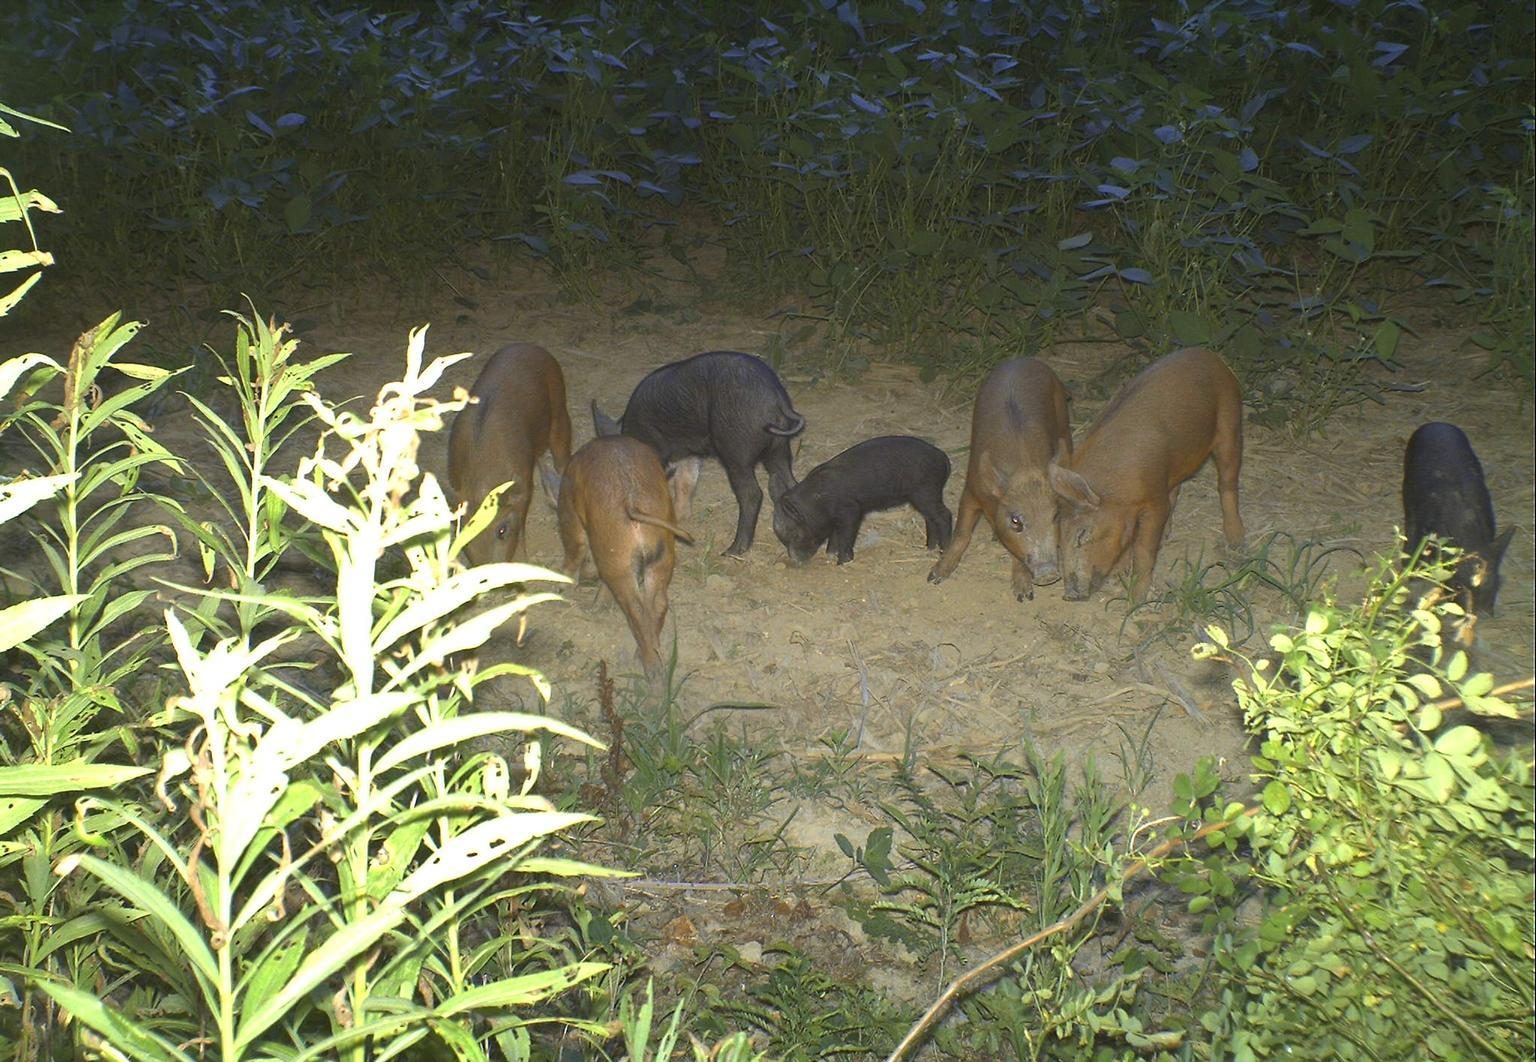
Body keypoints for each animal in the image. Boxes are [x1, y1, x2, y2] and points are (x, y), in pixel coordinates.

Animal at [549, 436, 693, 680]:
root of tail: (632, 503)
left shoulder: (571, 518)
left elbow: (574, 553)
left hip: (617, 561)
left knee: (635, 609)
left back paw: (650, 668)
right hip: (660, 558)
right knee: (657, 604)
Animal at [591, 351, 804, 556]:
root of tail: (775, 398)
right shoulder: (689, 454)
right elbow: (686, 482)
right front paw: (681, 517)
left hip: (736, 450)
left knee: (752, 493)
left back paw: (731, 551)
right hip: (778, 448)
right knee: (786, 483)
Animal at [772, 436, 953, 565]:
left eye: (796, 535)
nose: (795, 561)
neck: (818, 501)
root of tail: (943, 458)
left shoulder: (851, 510)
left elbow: (846, 534)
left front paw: (842, 562)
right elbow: (835, 533)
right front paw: (830, 555)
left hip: (926, 491)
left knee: (944, 515)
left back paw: (944, 550)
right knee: (930, 518)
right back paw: (929, 549)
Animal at [927, 358, 1073, 600]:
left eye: (1056, 515)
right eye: (1015, 521)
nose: (1048, 574)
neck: (1022, 467)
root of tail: (1023, 359)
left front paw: (1024, 596)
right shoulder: (971, 490)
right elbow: (962, 533)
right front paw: (934, 577)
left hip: (1063, 418)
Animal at [1049, 347, 1245, 602]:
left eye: (1082, 534)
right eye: (1058, 539)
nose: (1070, 594)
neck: (1116, 492)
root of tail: (1209, 354)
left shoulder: (1154, 500)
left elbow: (1143, 548)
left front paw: (1137, 598)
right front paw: (1118, 576)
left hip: (1230, 422)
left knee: (1227, 483)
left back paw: (1237, 542)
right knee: (1176, 490)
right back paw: (1169, 535)